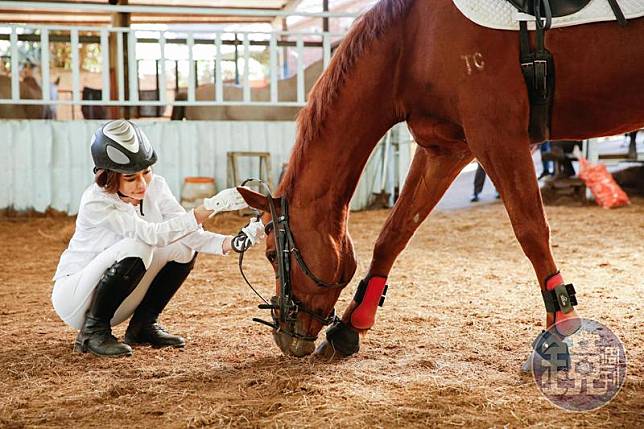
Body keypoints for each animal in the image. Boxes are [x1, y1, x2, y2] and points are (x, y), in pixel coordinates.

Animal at [236, 0, 644, 360]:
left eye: (271, 254)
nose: (284, 334)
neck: (413, 40)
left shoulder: (496, 137)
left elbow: (530, 230)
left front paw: (560, 326)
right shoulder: (446, 148)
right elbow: (395, 232)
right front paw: (350, 327)